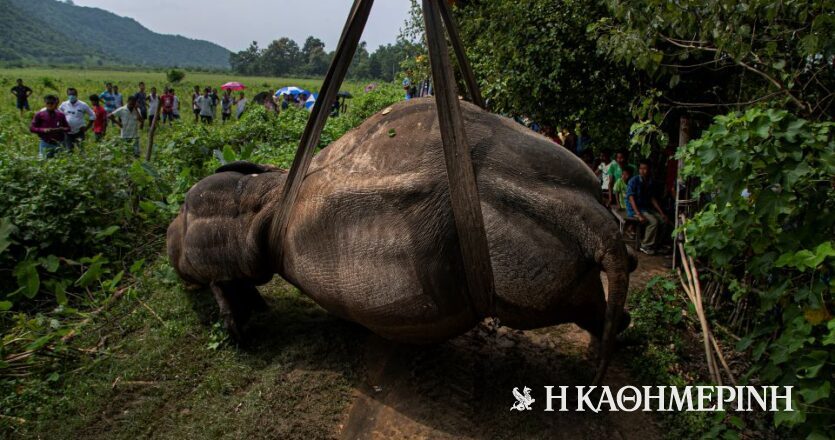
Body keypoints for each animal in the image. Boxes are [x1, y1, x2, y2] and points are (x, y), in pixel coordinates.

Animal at [167, 97, 636, 382]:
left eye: (186, 206)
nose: (170, 236)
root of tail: (598, 226)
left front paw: (239, 324)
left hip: (521, 263)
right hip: (549, 216)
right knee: (590, 298)